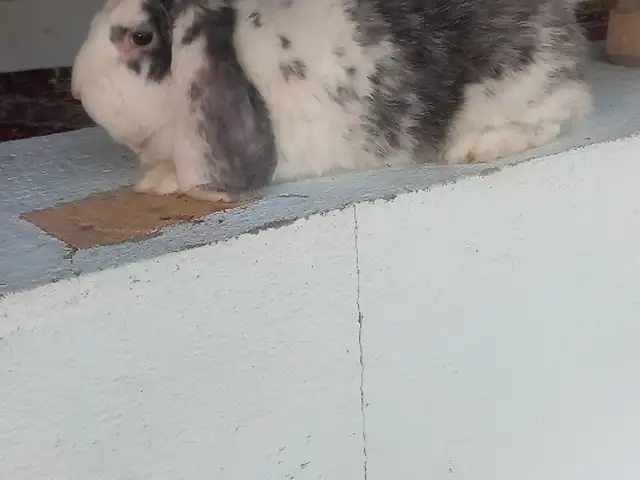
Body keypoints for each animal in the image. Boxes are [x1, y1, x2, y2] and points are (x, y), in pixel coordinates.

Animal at [73, 0, 591, 201]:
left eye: (140, 37)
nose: (77, 87)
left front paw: (161, 182)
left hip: (519, 86)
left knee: (566, 108)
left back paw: (476, 147)